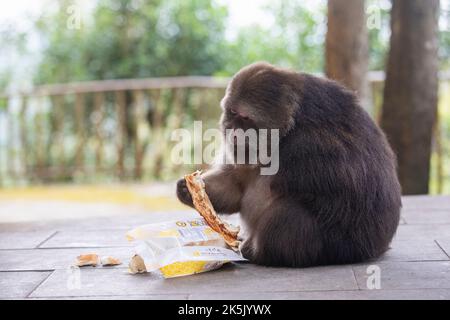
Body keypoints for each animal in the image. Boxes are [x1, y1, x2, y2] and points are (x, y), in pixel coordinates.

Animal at [176, 62, 400, 268]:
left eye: (245, 117)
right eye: (231, 112)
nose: (232, 130)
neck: (287, 130)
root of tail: (378, 249)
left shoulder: (305, 145)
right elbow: (236, 186)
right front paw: (188, 190)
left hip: (343, 249)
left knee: (290, 211)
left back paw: (258, 253)